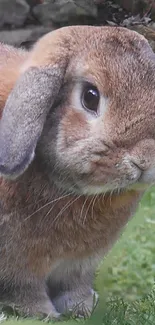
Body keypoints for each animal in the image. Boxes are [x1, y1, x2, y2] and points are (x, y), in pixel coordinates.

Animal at [0, 26, 155, 318]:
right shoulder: (17, 263)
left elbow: (75, 286)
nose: (146, 160)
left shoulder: (79, 265)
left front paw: (82, 307)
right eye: (90, 97)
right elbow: (23, 288)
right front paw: (43, 313)